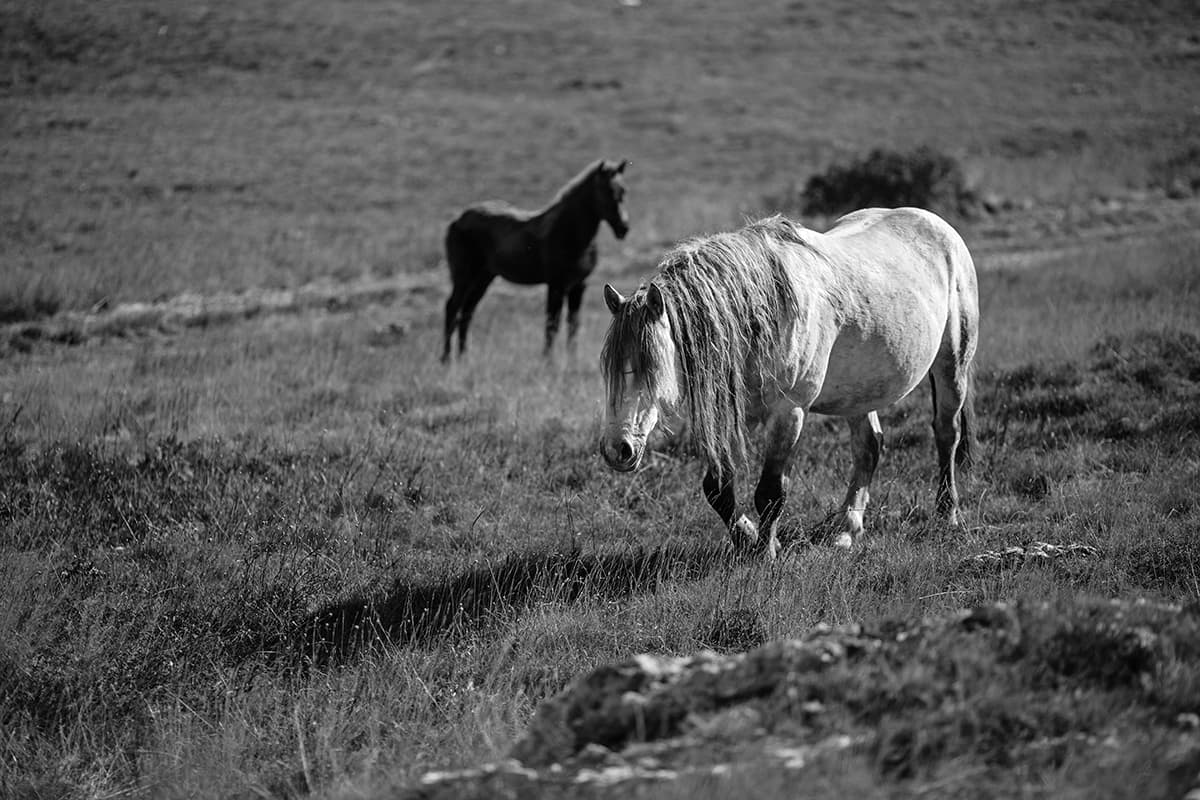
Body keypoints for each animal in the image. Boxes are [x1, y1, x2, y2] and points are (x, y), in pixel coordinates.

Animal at [441, 159, 630, 363]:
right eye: (606, 190)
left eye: (623, 191)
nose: (624, 227)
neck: (570, 232)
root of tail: (457, 220)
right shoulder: (556, 285)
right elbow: (552, 324)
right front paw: (548, 362)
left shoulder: (579, 285)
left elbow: (573, 325)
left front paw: (572, 362)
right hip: (464, 277)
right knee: (452, 308)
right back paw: (446, 359)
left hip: (483, 278)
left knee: (467, 313)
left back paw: (464, 357)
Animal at [599, 209, 978, 557]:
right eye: (610, 371)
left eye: (651, 367)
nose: (617, 449)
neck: (763, 314)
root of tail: (934, 222)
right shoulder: (729, 414)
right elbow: (718, 489)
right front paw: (747, 537)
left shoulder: (789, 411)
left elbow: (770, 491)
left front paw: (765, 551)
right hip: (860, 393)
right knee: (869, 447)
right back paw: (846, 530)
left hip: (952, 365)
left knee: (947, 433)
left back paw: (947, 514)